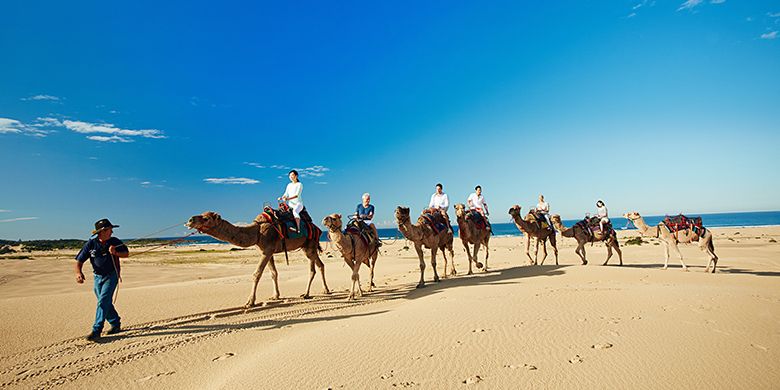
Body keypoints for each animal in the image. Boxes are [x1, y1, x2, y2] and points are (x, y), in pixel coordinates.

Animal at [187, 212, 330, 306]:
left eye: (206, 218)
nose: (190, 220)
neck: (256, 231)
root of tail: (317, 228)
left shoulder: (267, 250)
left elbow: (257, 274)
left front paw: (250, 301)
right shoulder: (267, 251)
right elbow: (273, 273)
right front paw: (275, 296)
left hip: (310, 245)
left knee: (316, 266)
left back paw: (313, 292)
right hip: (306, 246)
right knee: (318, 266)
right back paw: (317, 292)